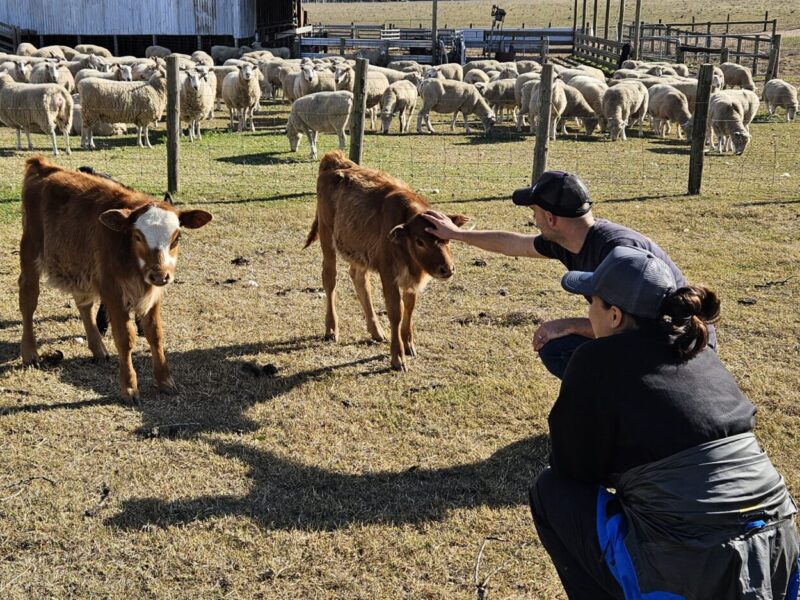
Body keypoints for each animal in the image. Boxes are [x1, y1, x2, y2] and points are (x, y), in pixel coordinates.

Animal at [19, 156, 212, 398]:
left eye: (177, 237)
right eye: (137, 236)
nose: (160, 275)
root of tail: (42, 166)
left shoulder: (153, 294)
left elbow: (155, 334)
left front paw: (165, 380)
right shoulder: (112, 291)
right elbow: (124, 338)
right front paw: (129, 387)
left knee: (83, 304)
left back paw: (98, 348)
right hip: (30, 252)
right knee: (28, 300)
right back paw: (29, 352)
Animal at [306, 150, 468, 370]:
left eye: (447, 238)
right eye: (419, 241)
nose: (447, 269)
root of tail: (335, 160)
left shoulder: (409, 279)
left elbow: (409, 307)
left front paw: (408, 344)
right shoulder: (388, 273)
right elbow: (396, 311)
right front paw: (397, 356)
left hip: (358, 252)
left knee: (359, 279)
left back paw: (376, 330)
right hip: (326, 236)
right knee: (330, 279)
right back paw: (331, 329)